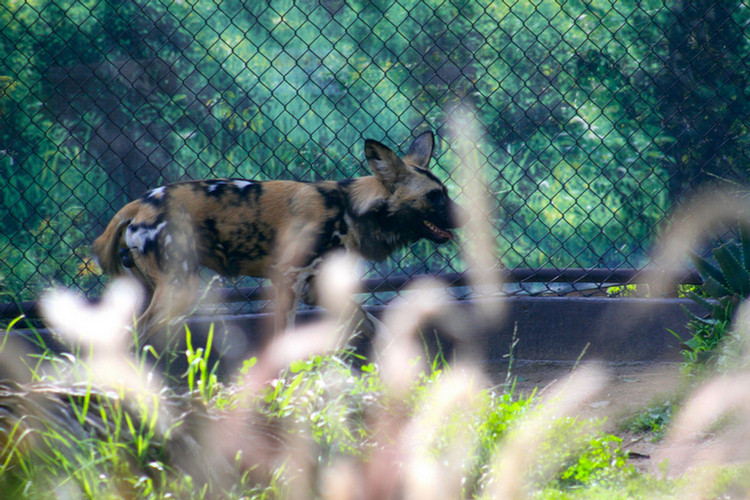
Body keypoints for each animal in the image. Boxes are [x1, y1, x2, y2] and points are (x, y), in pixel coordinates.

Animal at [94, 131, 464, 338]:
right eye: (435, 196)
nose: (467, 215)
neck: (349, 210)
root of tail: (138, 204)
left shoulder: (318, 289)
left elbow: (379, 327)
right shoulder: (286, 280)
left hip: (149, 290)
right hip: (179, 287)